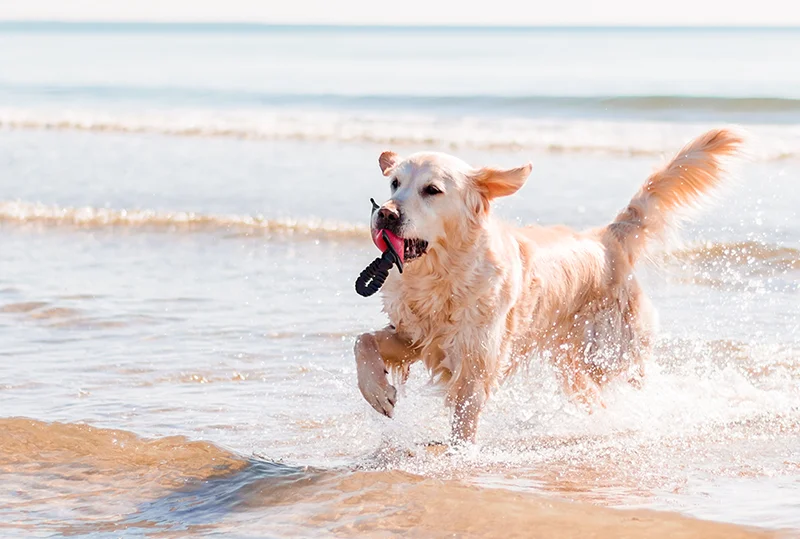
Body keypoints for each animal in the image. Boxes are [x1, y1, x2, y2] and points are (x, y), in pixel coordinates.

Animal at [356, 129, 744, 446]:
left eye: (432, 190)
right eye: (394, 183)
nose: (385, 214)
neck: (440, 275)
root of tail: (607, 238)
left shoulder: (477, 360)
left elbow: (465, 418)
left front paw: (458, 456)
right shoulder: (415, 335)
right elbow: (363, 340)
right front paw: (378, 392)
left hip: (615, 353)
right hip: (574, 366)